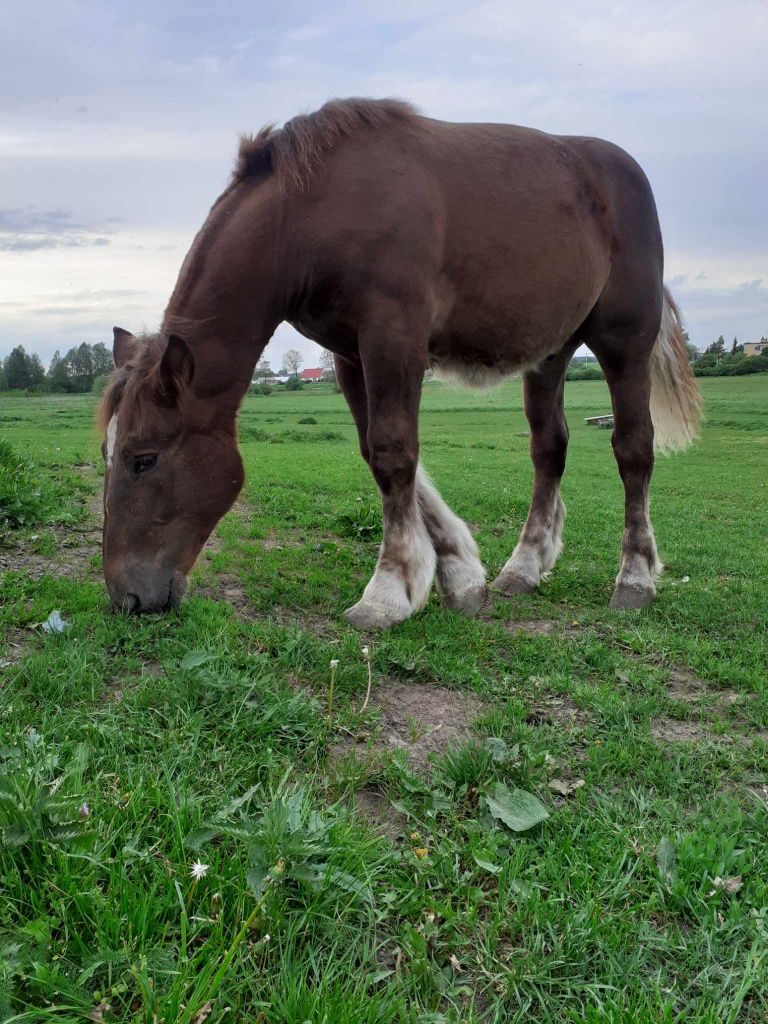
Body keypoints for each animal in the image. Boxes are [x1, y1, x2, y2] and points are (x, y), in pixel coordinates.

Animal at [97, 97, 704, 622]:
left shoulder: (393, 340)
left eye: (143, 459)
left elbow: (395, 454)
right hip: (549, 354)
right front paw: (460, 578)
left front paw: (387, 592)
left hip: (624, 343)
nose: (125, 597)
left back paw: (634, 579)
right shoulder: (351, 354)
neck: (309, 213)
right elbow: (379, 454)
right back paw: (524, 568)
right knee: (548, 451)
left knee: (633, 450)